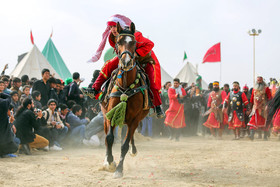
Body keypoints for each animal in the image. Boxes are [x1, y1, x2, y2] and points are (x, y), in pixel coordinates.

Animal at [100, 21, 149, 178]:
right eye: (118, 42)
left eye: (133, 42)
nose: (126, 61)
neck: (127, 85)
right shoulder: (111, 113)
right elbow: (109, 138)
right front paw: (110, 162)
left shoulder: (134, 119)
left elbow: (125, 144)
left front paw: (119, 169)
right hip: (105, 115)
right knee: (106, 137)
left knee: (130, 136)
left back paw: (133, 150)